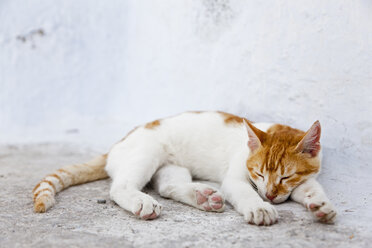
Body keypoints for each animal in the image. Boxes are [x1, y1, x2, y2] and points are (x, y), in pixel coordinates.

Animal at [32, 111, 338, 226]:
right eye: (259, 173)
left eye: (287, 176)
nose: (271, 196)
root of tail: (120, 142)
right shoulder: (236, 178)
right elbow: (245, 192)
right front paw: (260, 208)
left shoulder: (304, 180)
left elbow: (312, 190)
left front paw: (322, 207)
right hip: (147, 152)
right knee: (119, 187)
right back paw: (141, 202)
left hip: (172, 166)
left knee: (167, 185)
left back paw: (204, 198)